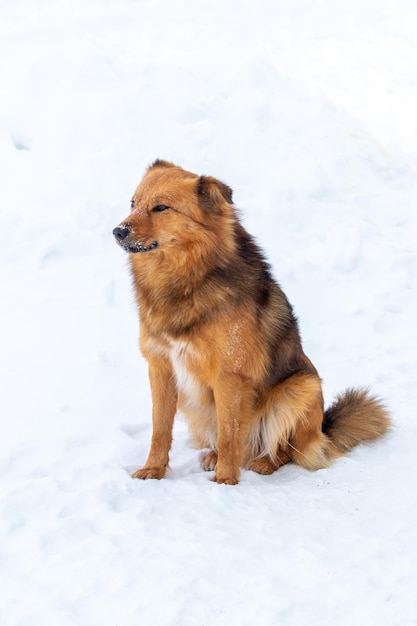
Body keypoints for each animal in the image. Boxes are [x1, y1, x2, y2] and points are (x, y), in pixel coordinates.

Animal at [112, 160, 388, 482]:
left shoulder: (230, 375)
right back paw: (214, 456)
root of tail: (323, 429)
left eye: (160, 207)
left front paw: (225, 481)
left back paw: (263, 462)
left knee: (286, 451)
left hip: (300, 387)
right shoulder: (161, 367)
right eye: (133, 204)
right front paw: (153, 470)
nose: (117, 231)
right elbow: (160, 428)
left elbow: (229, 434)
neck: (185, 278)